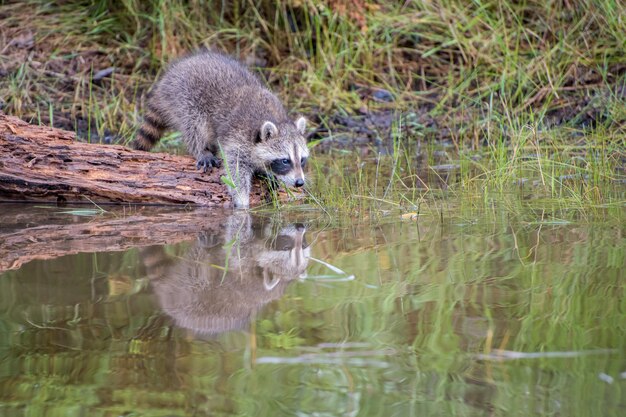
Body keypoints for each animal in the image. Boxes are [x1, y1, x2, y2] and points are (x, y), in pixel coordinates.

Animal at [134, 50, 308, 208]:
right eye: (285, 160)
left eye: (302, 159)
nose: (300, 182)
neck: (277, 120)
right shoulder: (238, 137)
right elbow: (235, 169)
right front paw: (242, 201)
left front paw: (267, 172)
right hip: (185, 98)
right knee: (195, 126)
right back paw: (202, 150)